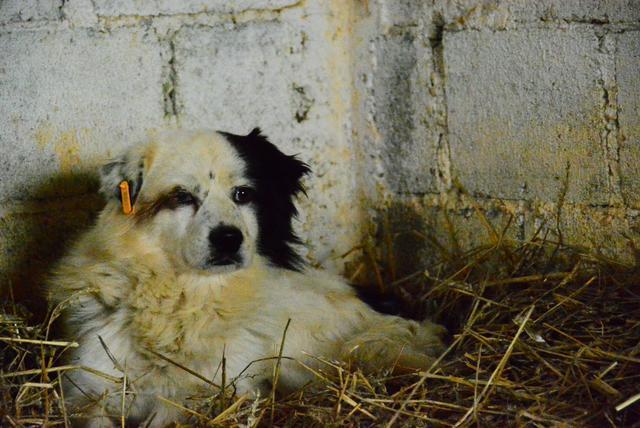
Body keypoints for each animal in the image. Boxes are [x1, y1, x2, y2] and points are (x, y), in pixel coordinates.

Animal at [47, 129, 444, 426]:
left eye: (243, 194)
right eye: (182, 196)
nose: (228, 238)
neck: (183, 300)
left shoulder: (219, 392)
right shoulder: (88, 391)